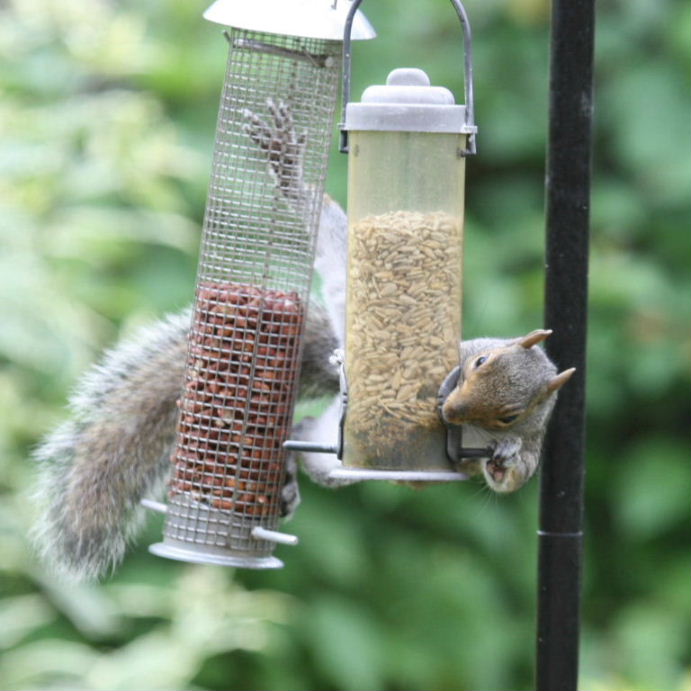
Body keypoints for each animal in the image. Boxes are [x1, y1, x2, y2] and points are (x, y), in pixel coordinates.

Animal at [31, 99, 574, 581]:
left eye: (511, 416)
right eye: (480, 361)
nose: (452, 412)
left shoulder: (531, 443)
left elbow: (510, 480)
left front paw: (503, 457)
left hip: (332, 453)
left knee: (307, 432)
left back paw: (289, 472)